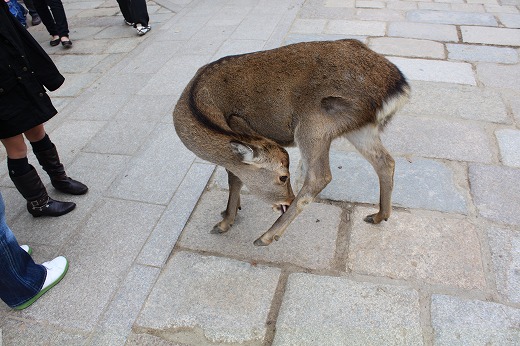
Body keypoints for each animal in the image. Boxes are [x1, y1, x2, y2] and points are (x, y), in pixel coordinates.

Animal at [174, 39, 410, 246]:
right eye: (282, 177)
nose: (287, 201)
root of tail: (398, 86)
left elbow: (234, 177)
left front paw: (224, 222)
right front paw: (230, 211)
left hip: (314, 124)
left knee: (319, 176)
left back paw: (266, 237)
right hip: (358, 127)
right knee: (385, 161)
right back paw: (379, 215)